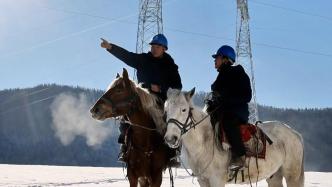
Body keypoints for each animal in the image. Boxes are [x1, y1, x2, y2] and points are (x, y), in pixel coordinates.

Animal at [163, 89, 304, 187]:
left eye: (184, 109)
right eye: (166, 110)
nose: (170, 138)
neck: (204, 142)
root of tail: (294, 133)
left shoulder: (217, 180)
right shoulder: (203, 180)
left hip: (292, 175)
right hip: (274, 176)